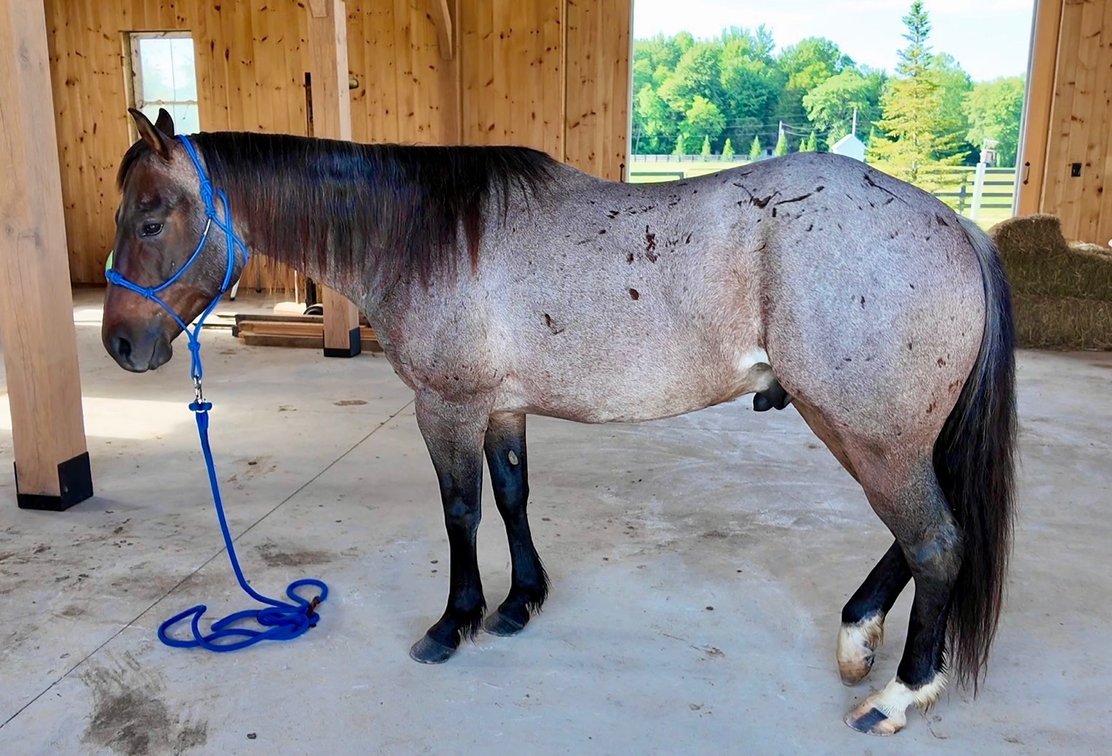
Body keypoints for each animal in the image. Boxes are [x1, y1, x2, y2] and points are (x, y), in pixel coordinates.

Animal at [102, 108, 1015, 735]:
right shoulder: (503, 406)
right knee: (921, 538)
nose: (119, 344)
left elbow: (461, 511)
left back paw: (899, 692)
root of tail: (952, 223)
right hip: (885, 438)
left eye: (150, 220)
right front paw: (521, 601)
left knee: (936, 541)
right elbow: (512, 499)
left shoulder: (448, 407)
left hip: (873, 437)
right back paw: (860, 636)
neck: (424, 237)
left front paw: (456, 621)